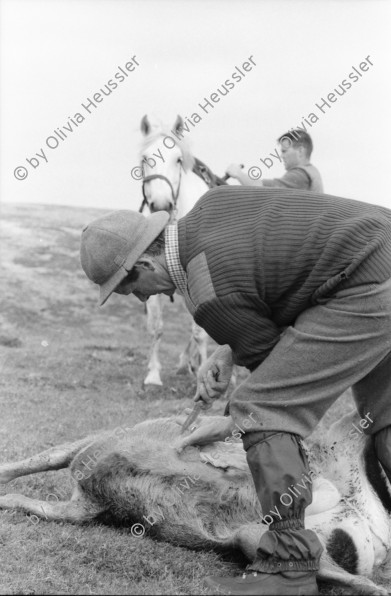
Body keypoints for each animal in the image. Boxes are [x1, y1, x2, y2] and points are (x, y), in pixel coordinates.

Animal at [139, 115, 228, 386]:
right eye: (145, 159)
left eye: (178, 159)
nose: (161, 205)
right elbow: (156, 328)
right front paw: (153, 375)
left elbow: (200, 332)